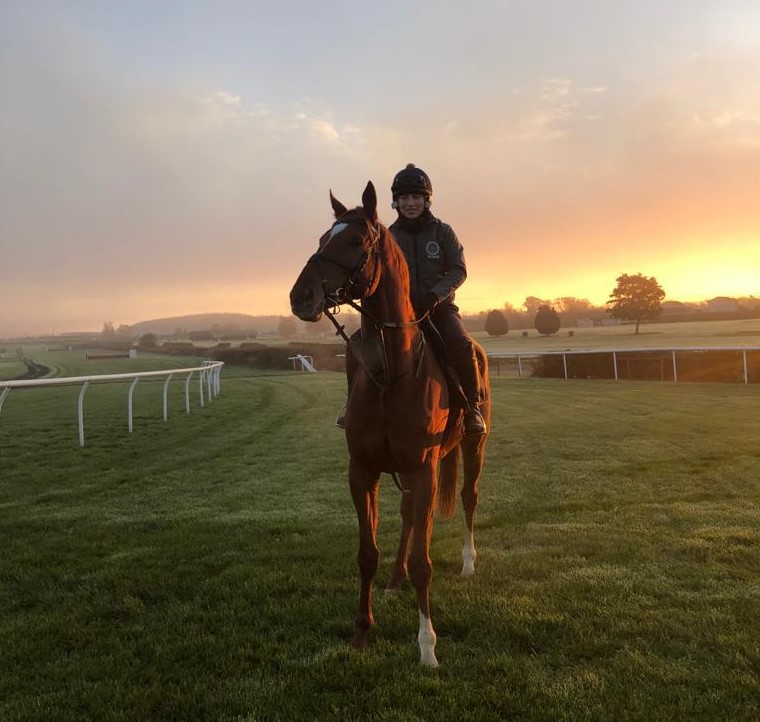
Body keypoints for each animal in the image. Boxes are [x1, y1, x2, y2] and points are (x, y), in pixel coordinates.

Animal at [288, 180, 490, 664]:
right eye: (322, 238)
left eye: (356, 241)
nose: (301, 296)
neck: (392, 372)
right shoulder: (363, 471)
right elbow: (367, 553)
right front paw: (362, 630)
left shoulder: (425, 468)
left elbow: (424, 562)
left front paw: (427, 645)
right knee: (409, 517)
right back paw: (396, 578)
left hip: (471, 447)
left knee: (469, 497)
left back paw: (468, 561)